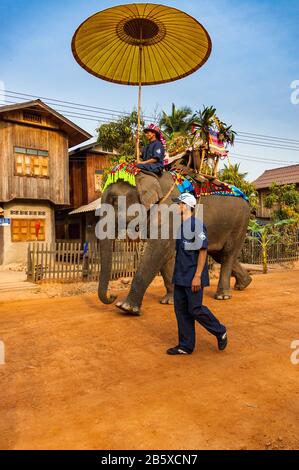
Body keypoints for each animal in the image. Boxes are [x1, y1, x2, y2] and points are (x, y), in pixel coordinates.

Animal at [98, 171, 253, 314]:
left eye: (114, 201)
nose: (113, 296)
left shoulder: (169, 213)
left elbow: (159, 250)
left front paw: (126, 307)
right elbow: (167, 256)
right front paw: (169, 301)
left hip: (239, 223)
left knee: (227, 254)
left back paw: (223, 296)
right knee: (218, 254)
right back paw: (244, 284)